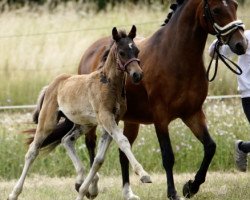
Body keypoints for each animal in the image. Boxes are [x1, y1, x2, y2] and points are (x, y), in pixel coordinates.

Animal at [8, 25, 150, 200]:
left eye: (136, 50)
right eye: (122, 52)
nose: (137, 75)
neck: (108, 84)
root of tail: (51, 85)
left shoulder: (112, 120)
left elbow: (99, 159)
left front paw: (85, 190)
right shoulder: (106, 118)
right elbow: (123, 141)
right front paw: (143, 175)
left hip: (84, 123)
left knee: (66, 139)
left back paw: (80, 179)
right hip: (47, 122)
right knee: (32, 152)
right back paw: (14, 193)